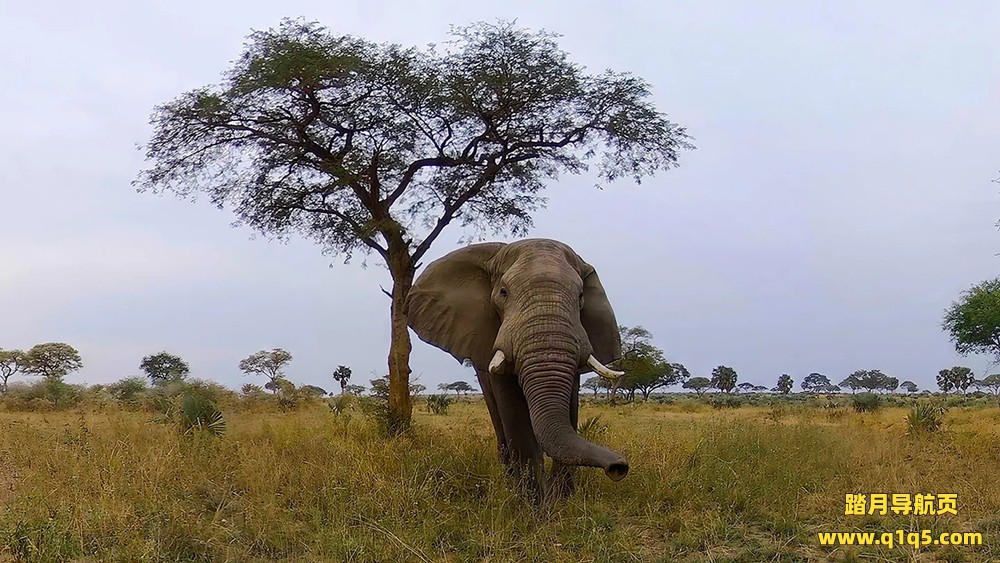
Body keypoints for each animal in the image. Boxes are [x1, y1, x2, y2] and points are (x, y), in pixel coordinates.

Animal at [406, 238, 628, 499]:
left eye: (581, 296)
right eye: (503, 293)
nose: (619, 467)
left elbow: (570, 408)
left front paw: (563, 500)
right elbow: (514, 411)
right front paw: (534, 504)